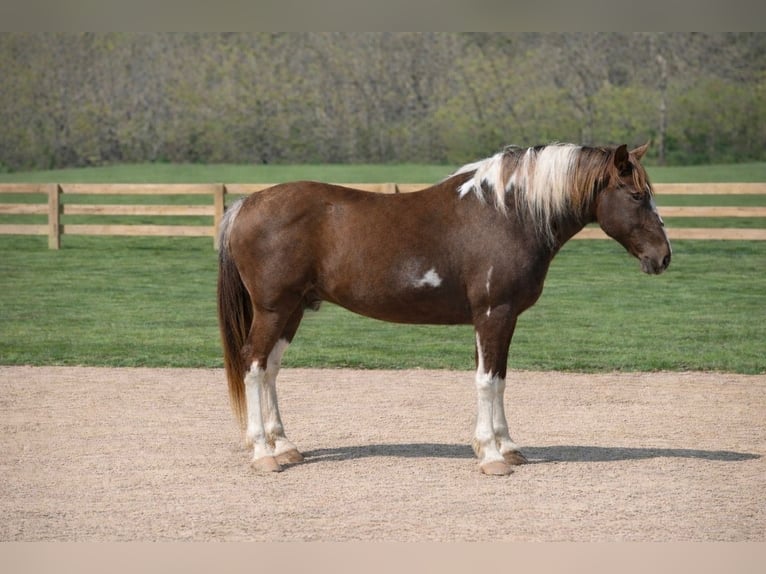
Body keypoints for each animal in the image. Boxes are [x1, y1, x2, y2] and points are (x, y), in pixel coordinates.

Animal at [217, 142, 671, 476]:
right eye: (637, 195)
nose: (663, 257)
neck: (508, 215)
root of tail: (245, 204)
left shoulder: (499, 318)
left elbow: (499, 379)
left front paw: (507, 447)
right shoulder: (493, 313)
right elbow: (487, 381)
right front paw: (492, 457)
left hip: (292, 310)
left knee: (270, 368)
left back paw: (285, 446)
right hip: (273, 309)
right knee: (253, 364)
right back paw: (264, 454)